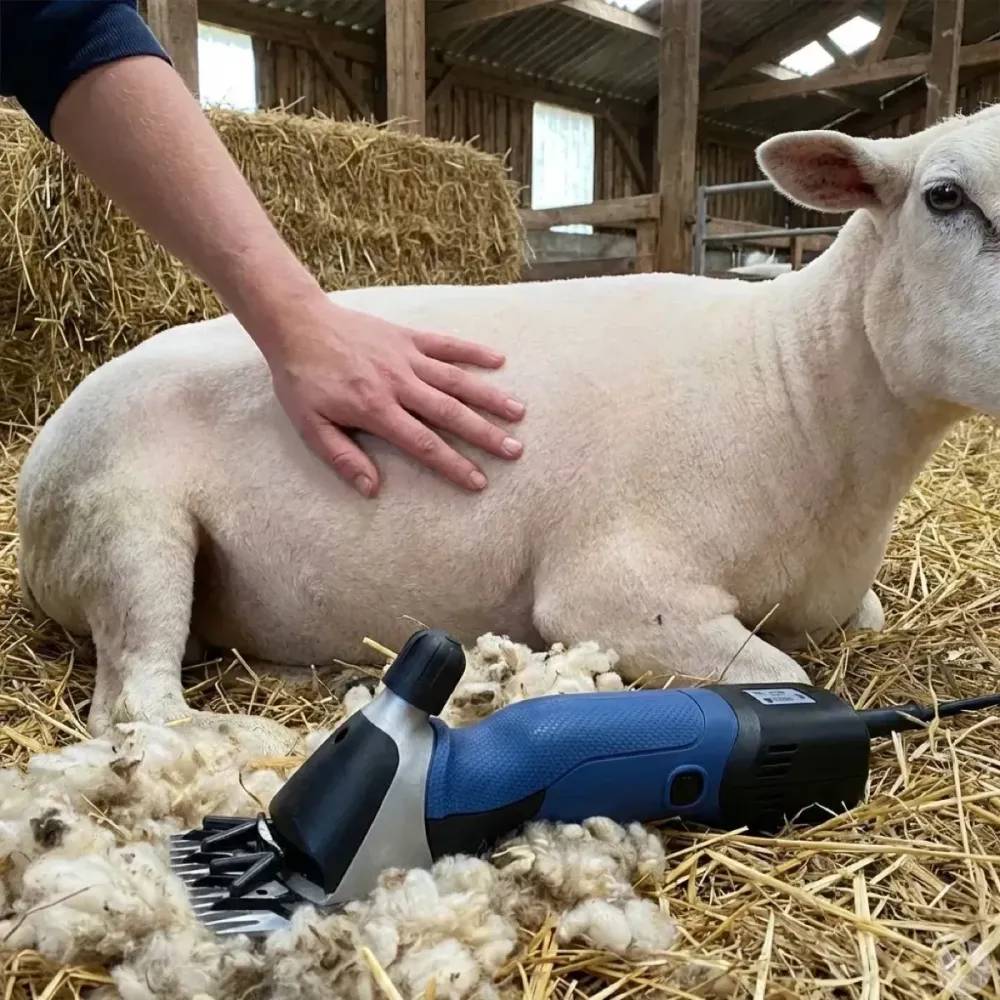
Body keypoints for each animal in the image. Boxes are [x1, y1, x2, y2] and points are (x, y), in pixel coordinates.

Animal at [17, 104, 1000, 743]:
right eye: (944, 197)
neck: (795, 385)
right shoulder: (613, 591)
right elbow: (788, 679)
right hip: (126, 527)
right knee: (135, 706)